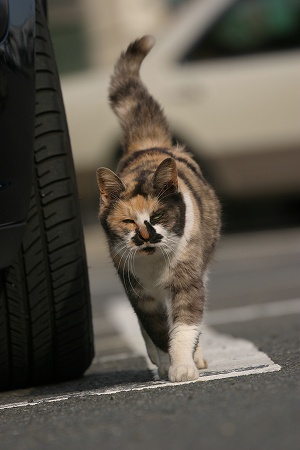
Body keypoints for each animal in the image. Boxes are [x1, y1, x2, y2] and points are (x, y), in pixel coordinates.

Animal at [96, 35, 220, 382]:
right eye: (128, 221)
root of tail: (148, 145)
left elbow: (185, 327)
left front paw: (183, 367)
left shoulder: (188, 282)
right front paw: (166, 364)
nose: (146, 235)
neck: (154, 265)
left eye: (159, 216)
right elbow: (156, 330)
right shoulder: (140, 295)